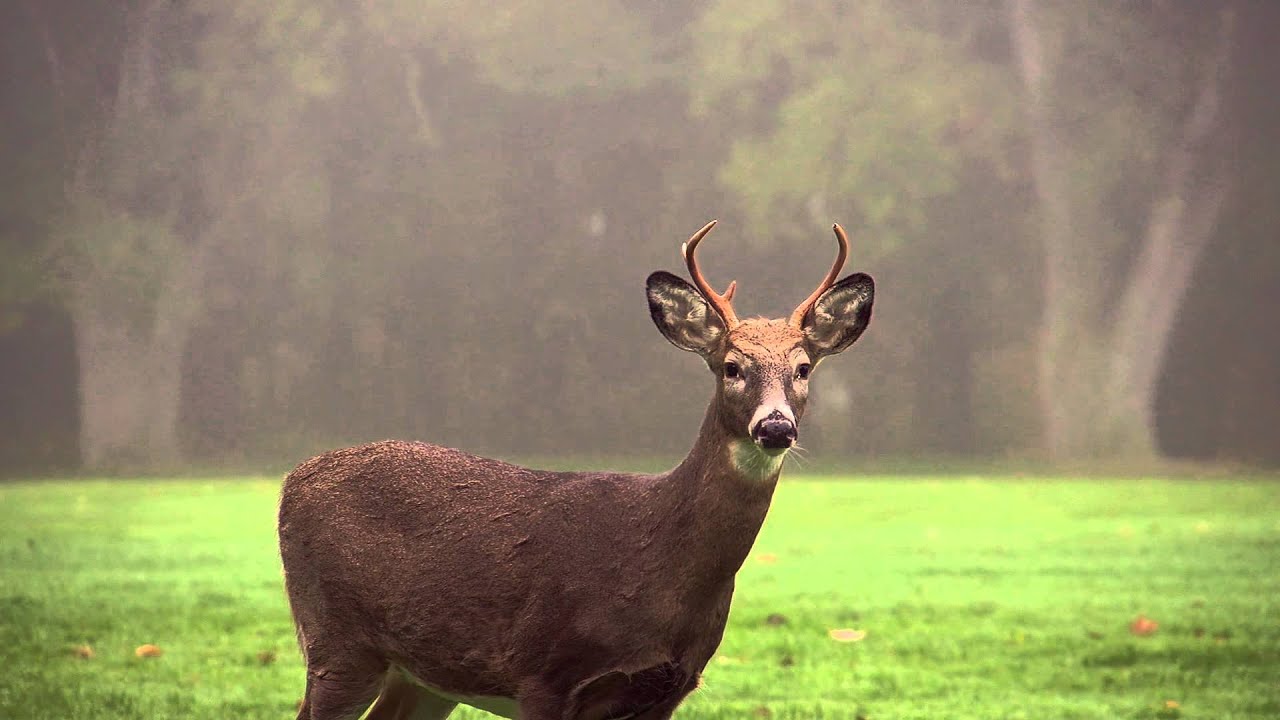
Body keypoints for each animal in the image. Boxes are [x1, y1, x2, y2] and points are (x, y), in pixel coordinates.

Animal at [277, 220, 875, 720]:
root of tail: (291, 480)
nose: (775, 426)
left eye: (803, 369)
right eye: (731, 367)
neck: (658, 558)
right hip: (337, 638)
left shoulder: (666, 689)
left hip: (422, 674)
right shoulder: (542, 671)